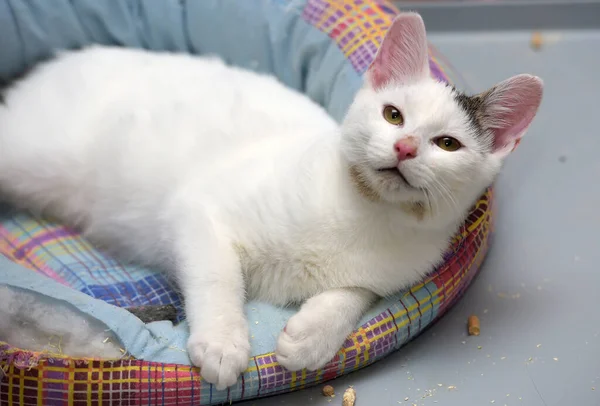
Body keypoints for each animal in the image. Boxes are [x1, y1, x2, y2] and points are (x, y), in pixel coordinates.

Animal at [0, 11, 544, 386]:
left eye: (448, 144)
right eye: (393, 115)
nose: (405, 147)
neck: (366, 215)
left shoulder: (391, 271)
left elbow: (356, 293)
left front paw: (310, 338)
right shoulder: (199, 210)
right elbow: (218, 275)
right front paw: (223, 342)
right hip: (32, 154)